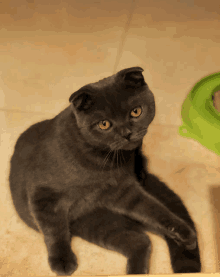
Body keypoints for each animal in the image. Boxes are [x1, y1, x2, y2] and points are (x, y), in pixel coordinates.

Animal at [9, 67, 201, 274]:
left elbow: (154, 208)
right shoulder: (43, 193)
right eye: (104, 124)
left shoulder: (124, 190)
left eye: (136, 111)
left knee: (141, 239)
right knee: (141, 240)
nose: (127, 133)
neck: (97, 161)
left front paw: (183, 232)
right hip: (93, 223)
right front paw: (62, 260)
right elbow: (53, 229)